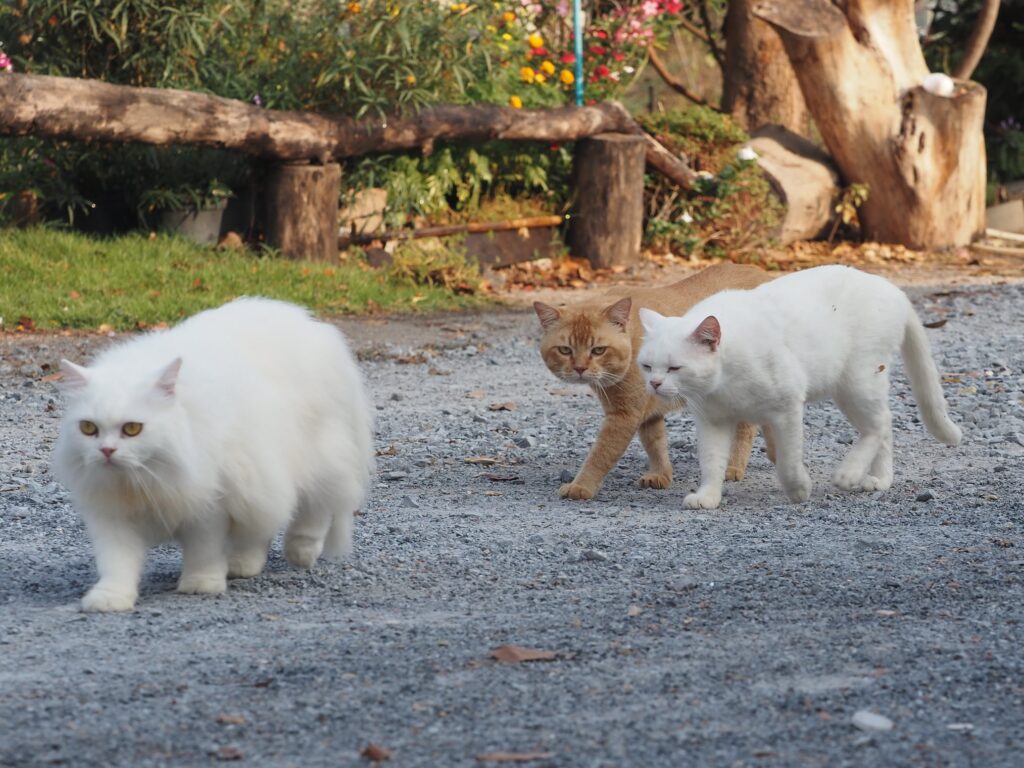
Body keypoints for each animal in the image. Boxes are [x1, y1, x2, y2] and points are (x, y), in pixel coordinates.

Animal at [54, 296, 374, 618]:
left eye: (132, 429)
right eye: (88, 428)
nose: (106, 451)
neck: (141, 482)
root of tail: (310, 324)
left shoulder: (209, 503)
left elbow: (203, 550)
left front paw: (201, 584)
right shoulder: (113, 517)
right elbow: (117, 564)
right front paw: (109, 599)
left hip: (312, 456)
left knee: (315, 507)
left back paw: (301, 552)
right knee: (262, 527)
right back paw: (243, 565)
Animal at [536, 264, 770, 501]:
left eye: (598, 350)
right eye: (565, 350)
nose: (580, 368)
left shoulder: (624, 416)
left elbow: (600, 454)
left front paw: (581, 485)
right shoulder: (648, 412)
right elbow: (655, 445)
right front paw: (661, 474)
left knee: (746, 431)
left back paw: (734, 467)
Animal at [634, 264, 962, 512]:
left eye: (674, 368)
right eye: (647, 366)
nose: (654, 383)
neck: (723, 381)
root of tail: (893, 289)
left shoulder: (787, 408)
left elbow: (788, 461)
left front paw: (799, 489)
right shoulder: (712, 421)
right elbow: (711, 462)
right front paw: (708, 497)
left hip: (856, 381)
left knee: (880, 423)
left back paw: (849, 474)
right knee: (885, 426)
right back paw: (879, 479)